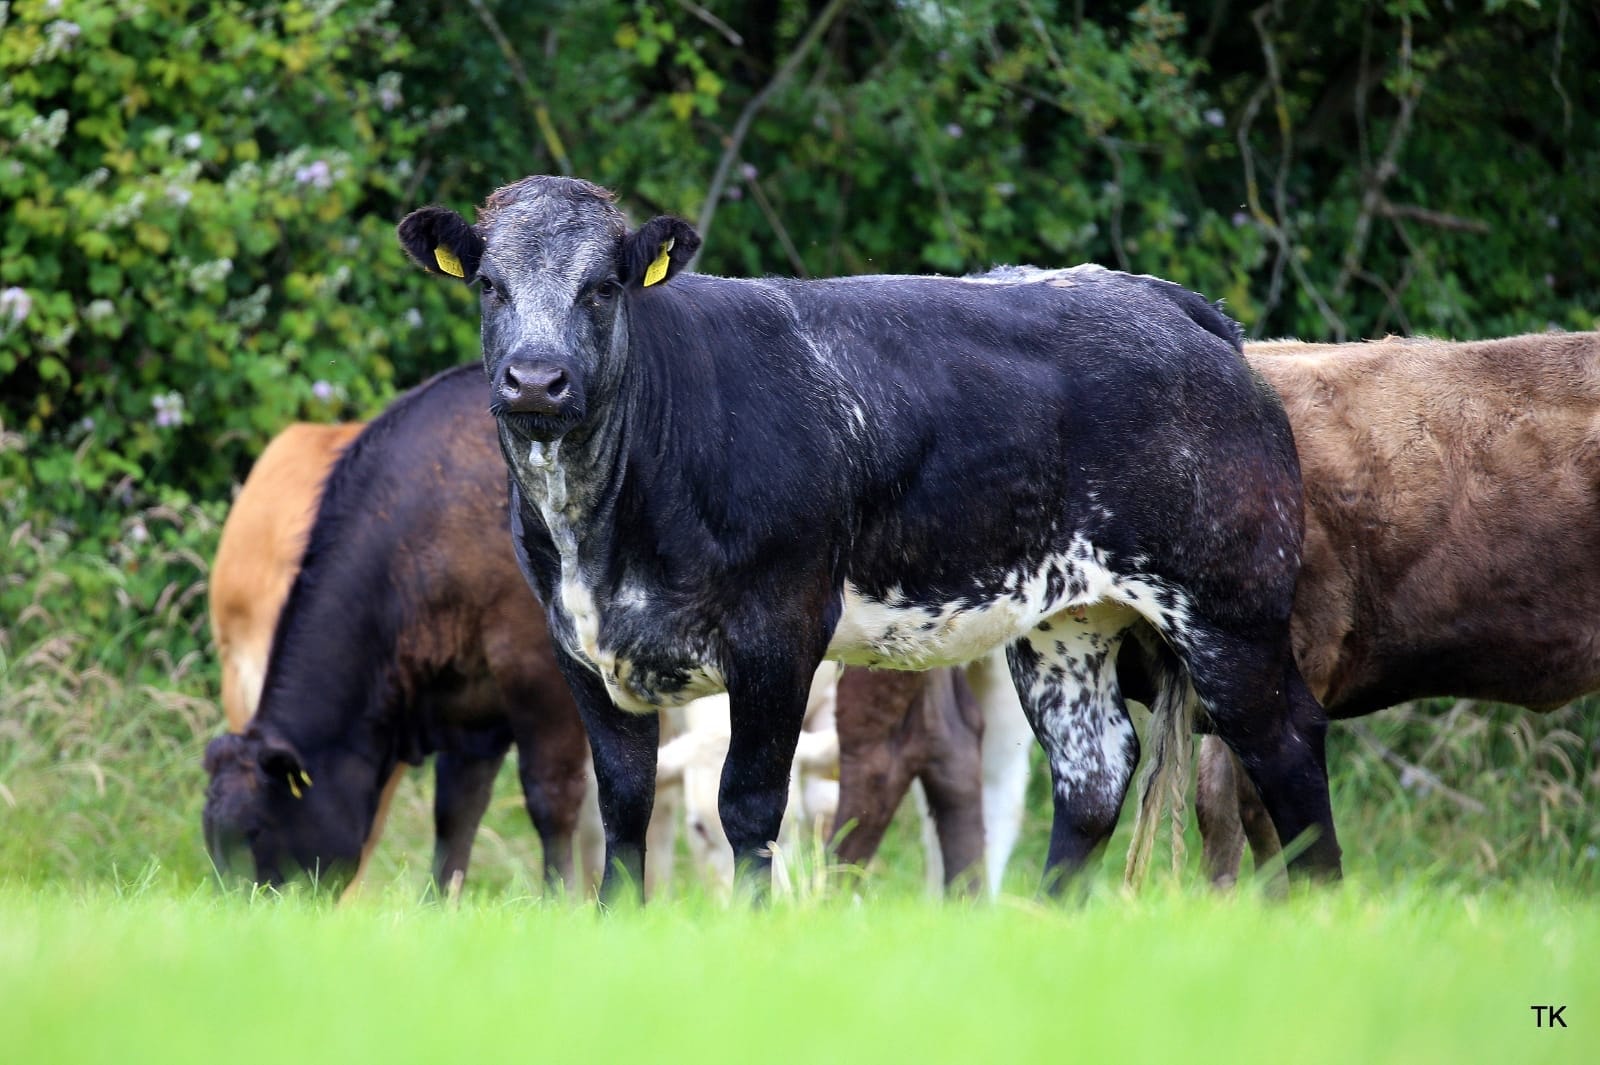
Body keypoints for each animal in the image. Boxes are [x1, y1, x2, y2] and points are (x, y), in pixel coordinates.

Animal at [202, 365, 592, 897]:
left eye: (258, 831)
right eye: (212, 846)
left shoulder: (540, 671)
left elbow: (552, 797)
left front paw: (565, 901)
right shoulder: (472, 708)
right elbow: (455, 816)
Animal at [397, 175, 1343, 901]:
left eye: (603, 286)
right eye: (489, 284)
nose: (536, 380)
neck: (602, 524)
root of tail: (1166, 303)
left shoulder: (779, 629)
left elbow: (750, 804)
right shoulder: (581, 646)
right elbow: (624, 807)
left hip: (1231, 610)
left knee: (1288, 745)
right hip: (1066, 625)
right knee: (1093, 776)